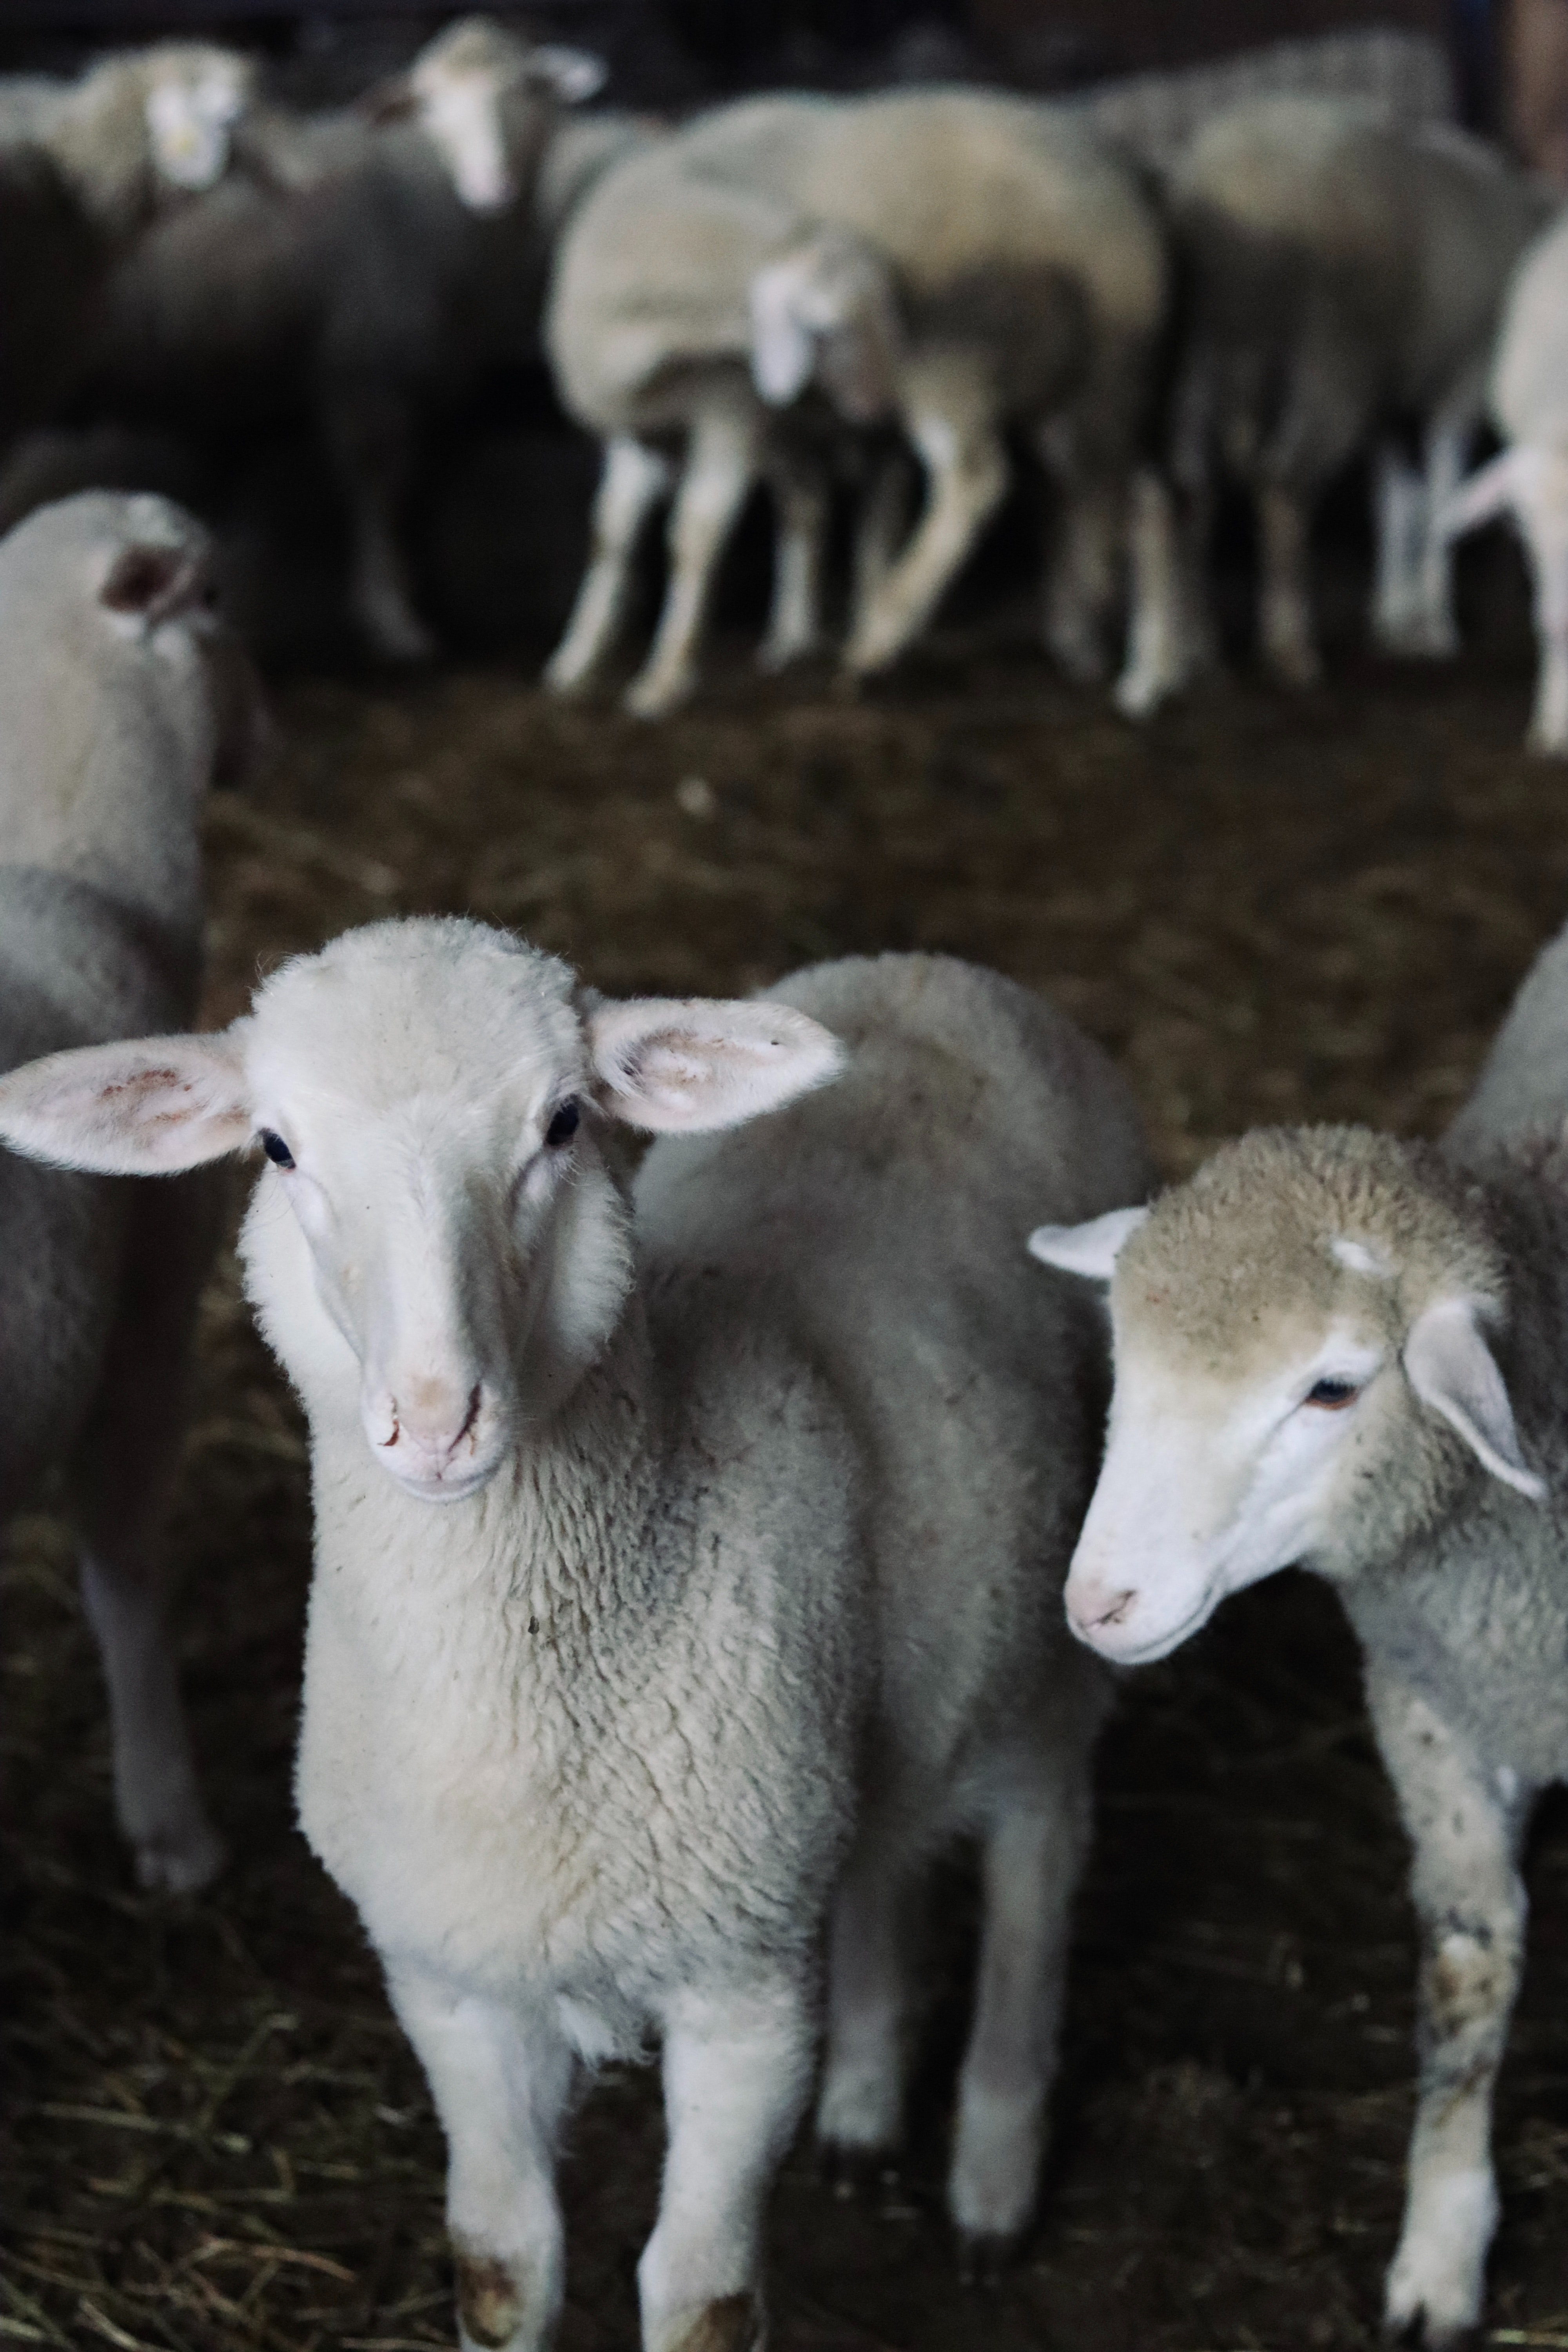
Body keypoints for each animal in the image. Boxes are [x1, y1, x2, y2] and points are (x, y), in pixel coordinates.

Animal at [0, 934, 1153, 2348]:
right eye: (275, 1147)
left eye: (561, 1124)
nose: (437, 1419)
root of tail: (937, 968)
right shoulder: (453, 1980)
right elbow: (505, 2264)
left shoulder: (742, 1993)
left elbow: (698, 2294)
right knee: (888, 1845)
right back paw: (868, 2102)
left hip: (1072, 1640)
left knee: (1039, 1869)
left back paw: (994, 2170)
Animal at [75, 19, 615, 666]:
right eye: (431, 102)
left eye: (526, 89)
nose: (492, 184)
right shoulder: (366, 365)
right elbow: (380, 489)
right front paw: (393, 619)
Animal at [544, 87, 1192, 720]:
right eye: (831, 329)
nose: (881, 404)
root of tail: (1111, 207)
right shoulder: (640, 433)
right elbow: (610, 532)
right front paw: (576, 662)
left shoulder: (730, 411)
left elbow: (695, 536)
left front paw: (663, 679)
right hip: (1093, 383)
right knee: (1142, 497)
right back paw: (1140, 672)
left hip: (961, 357)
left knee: (977, 481)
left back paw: (881, 633)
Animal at [1027, 941, 1568, 2343]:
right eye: (1124, 1354)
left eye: (1332, 1389)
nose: (1097, 1602)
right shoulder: (1431, 1702)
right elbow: (1466, 1959)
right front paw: (1441, 2243)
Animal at [1166, 96, 1551, 685]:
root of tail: (1229, 183)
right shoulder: (1459, 383)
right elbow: (1441, 493)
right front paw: (1435, 625)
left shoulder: (1391, 405)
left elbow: (1396, 502)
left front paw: (1394, 615)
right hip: (1332, 358)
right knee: (1283, 485)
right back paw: (1289, 645)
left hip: (1211, 356)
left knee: (1196, 488)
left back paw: (1200, 644)